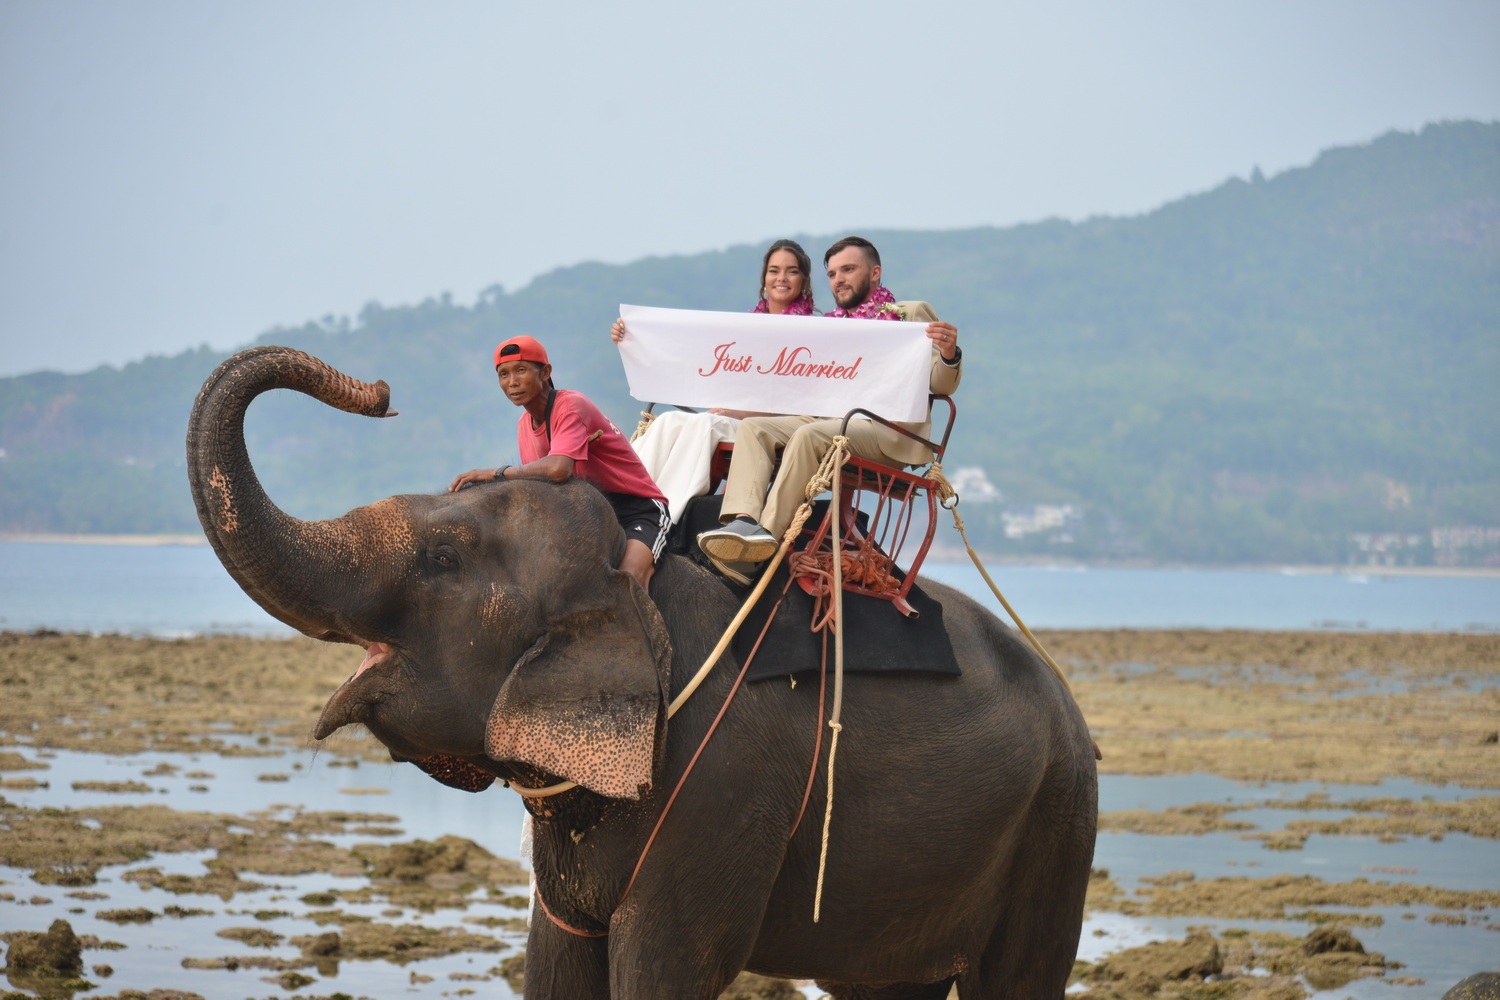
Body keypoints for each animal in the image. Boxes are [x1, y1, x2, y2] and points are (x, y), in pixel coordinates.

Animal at [186, 345, 1098, 999]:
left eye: (442, 559)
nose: (379, 392)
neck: (638, 594)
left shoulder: (723, 787)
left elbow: (666, 968)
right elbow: (555, 966)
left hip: (1057, 823)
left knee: (1017, 979)